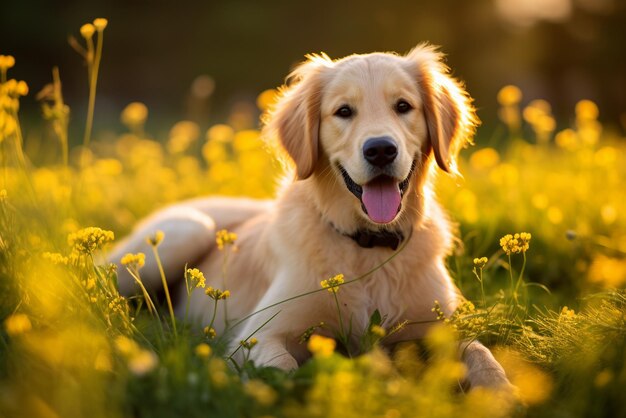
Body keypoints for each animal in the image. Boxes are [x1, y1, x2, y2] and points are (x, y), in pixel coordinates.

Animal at [111, 42, 512, 388]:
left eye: (403, 106)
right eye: (344, 111)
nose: (380, 149)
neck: (369, 245)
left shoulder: (442, 326)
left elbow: (480, 352)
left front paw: (501, 390)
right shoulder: (258, 334)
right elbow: (283, 368)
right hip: (186, 230)